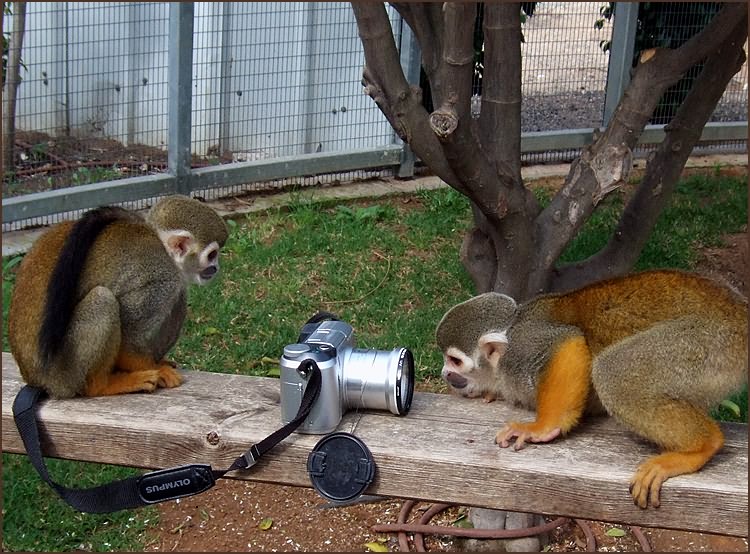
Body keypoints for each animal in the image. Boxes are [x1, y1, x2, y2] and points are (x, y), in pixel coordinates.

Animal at [7, 193, 229, 396]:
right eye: (212, 255)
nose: (216, 268)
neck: (161, 245)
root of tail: (35, 379)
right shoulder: (162, 277)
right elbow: (129, 333)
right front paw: (157, 368)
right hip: (64, 373)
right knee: (103, 299)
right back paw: (102, 385)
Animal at [438, 270, 748, 506]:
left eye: (455, 360)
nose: (444, 373)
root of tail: (739, 310)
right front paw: (491, 393)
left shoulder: (523, 348)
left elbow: (568, 343)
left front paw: (541, 427)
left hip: (708, 342)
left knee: (611, 372)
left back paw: (702, 446)